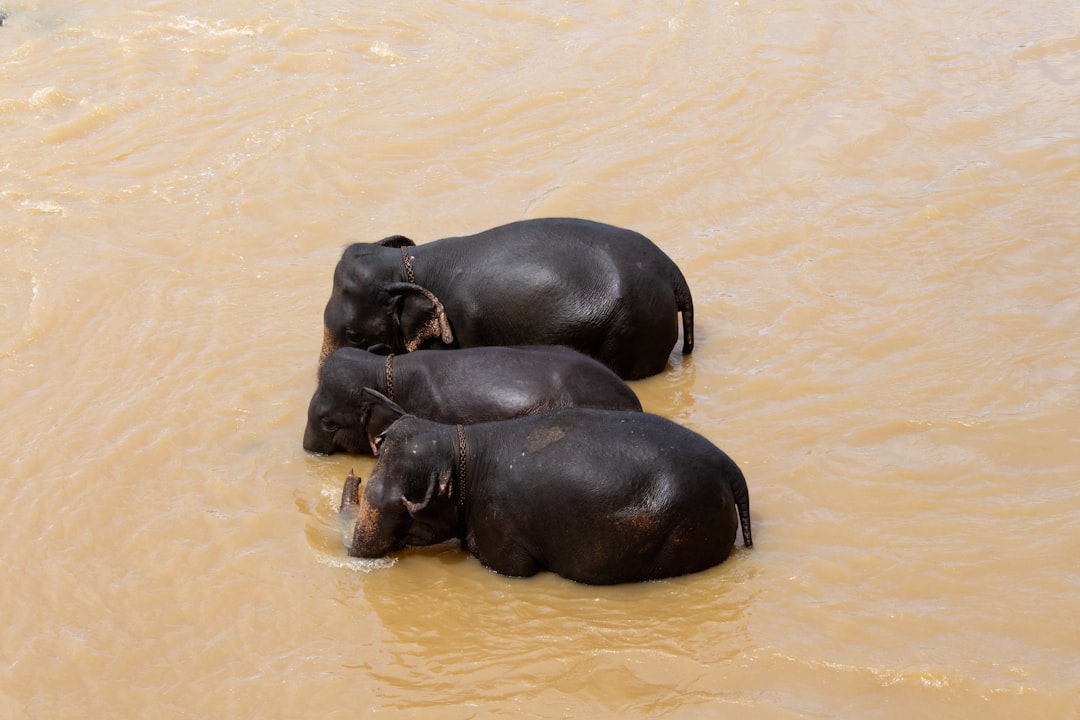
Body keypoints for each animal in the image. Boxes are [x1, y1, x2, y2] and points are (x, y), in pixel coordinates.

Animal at [336, 395, 751, 587]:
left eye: (398, 506)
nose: (353, 474)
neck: (459, 443)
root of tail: (729, 466)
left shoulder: (500, 526)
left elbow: (514, 570)